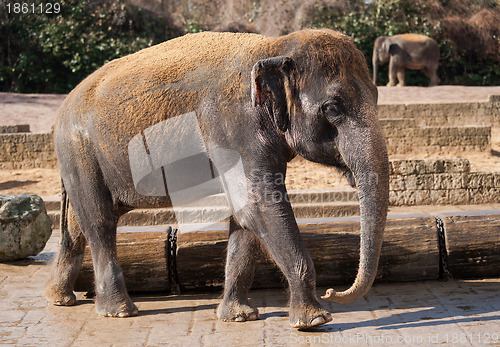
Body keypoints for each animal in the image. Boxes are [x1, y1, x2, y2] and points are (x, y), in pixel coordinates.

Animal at [44, 29, 390, 328]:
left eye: (376, 96)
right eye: (331, 107)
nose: (334, 291)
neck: (273, 47)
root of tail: (63, 106)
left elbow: (247, 215)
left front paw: (238, 316)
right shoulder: (231, 126)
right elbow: (259, 207)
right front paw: (314, 321)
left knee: (78, 224)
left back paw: (59, 298)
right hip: (80, 151)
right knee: (99, 221)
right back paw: (118, 311)